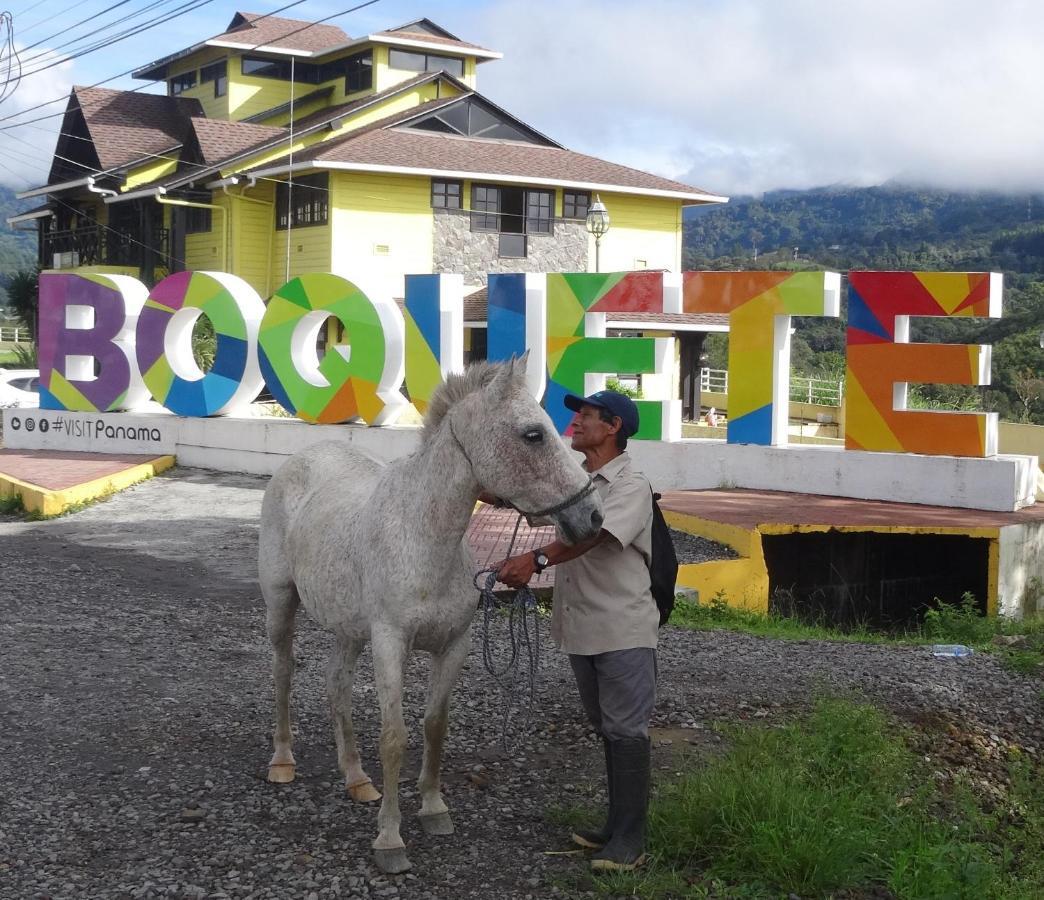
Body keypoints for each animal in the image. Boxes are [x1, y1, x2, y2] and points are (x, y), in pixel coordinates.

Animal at [258, 359, 605, 872]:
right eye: (533, 434)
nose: (592, 517)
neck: (422, 535)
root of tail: (303, 458)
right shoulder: (389, 644)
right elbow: (394, 737)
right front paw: (389, 839)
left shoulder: (453, 645)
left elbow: (434, 727)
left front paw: (434, 809)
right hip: (282, 605)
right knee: (283, 672)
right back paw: (283, 761)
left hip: (349, 631)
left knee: (336, 682)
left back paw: (356, 778)